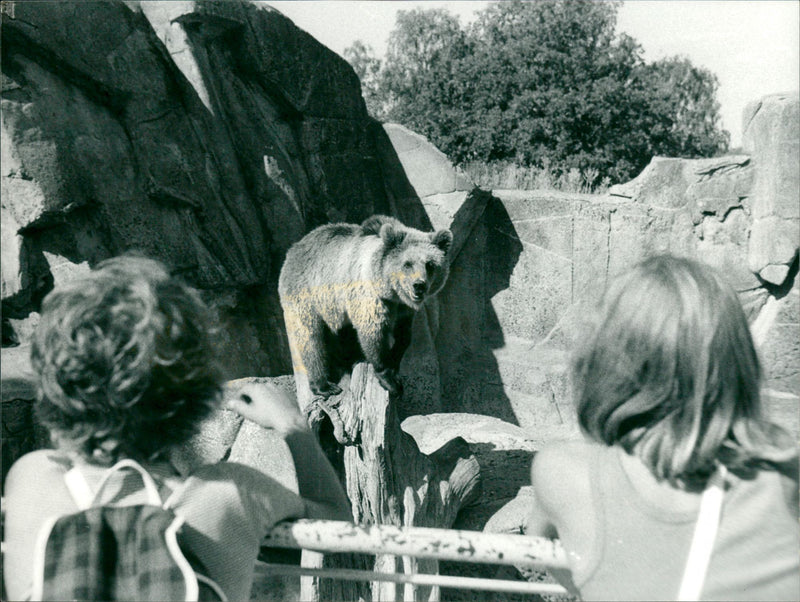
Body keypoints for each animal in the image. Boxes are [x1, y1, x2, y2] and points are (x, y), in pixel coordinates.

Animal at [278, 215, 453, 399]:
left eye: (430, 264)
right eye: (407, 264)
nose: (419, 285)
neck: (391, 292)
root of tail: (293, 250)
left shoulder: (403, 310)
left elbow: (404, 336)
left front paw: (394, 360)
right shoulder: (369, 297)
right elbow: (373, 333)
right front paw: (391, 381)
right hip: (307, 297)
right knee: (311, 339)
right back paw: (324, 385)